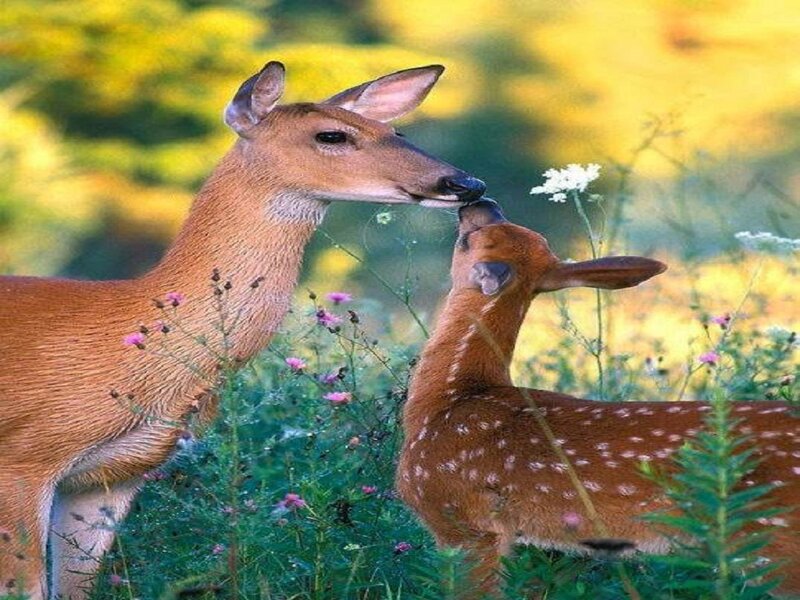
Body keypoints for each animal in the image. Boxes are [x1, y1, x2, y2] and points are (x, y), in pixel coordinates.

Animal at [397, 199, 799, 597]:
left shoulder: (458, 518)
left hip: (775, 540)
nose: (482, 202)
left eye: (472, 238)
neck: (448, 397)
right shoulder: (542, 547)